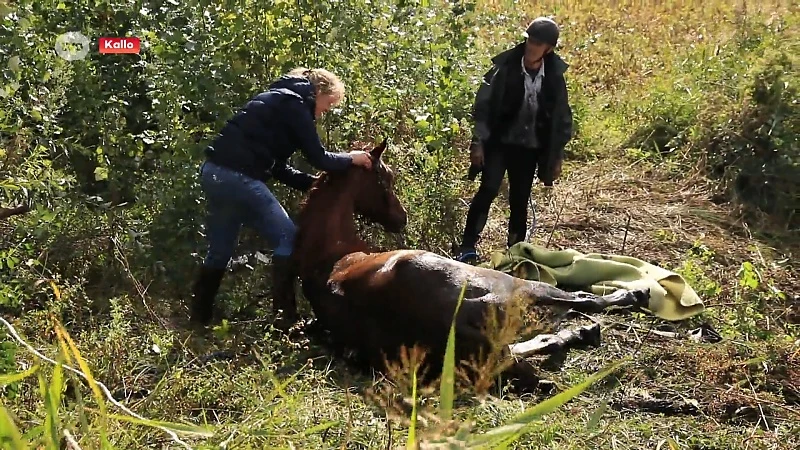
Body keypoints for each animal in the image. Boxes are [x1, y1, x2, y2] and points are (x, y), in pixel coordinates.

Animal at [282, 140, 648, 390]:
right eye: (386, 179)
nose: (401, 218)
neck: (331, 252)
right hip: (514, 286)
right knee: (580, 301)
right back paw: (629, 298)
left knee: (532, 347)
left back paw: (584, 331)